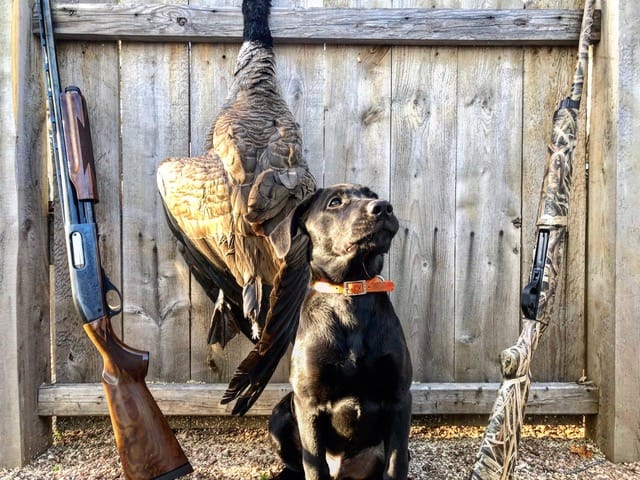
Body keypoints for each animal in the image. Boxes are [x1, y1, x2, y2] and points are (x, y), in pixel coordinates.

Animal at [268, 185, 412, 480]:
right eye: (335, 202)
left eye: (372, 195)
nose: (383, 207)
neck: (350, 291)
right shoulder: (308, 403)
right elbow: (314, 465)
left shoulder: (399, 398)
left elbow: (395, 465)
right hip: (279, 414)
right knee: (296, 465)